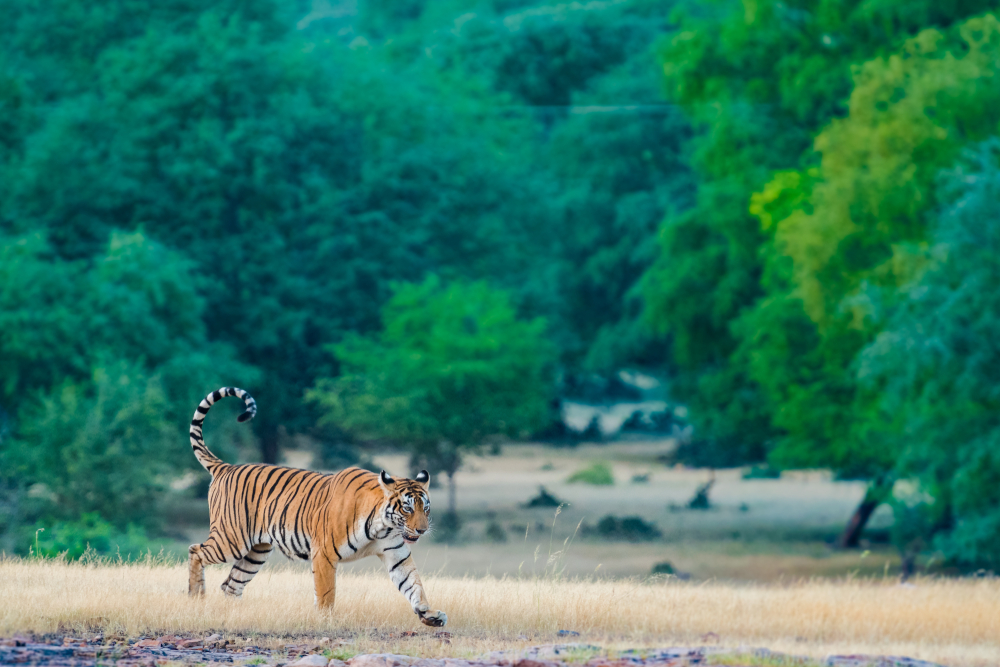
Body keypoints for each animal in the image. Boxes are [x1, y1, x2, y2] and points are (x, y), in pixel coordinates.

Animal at [185, 386, 450, 628]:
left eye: (425, 508)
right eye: (407, 508)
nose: (422, 530)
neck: (382, 526)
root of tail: (226, 467)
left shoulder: (396, 555)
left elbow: (414, 584)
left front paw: (429, 614)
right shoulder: (324, 553)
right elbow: (326, 592)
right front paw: (326, 620)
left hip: (256, 550)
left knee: (231, 584)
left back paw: (234, 615)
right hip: (231, 539)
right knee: (195, 550)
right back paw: (196, 598)